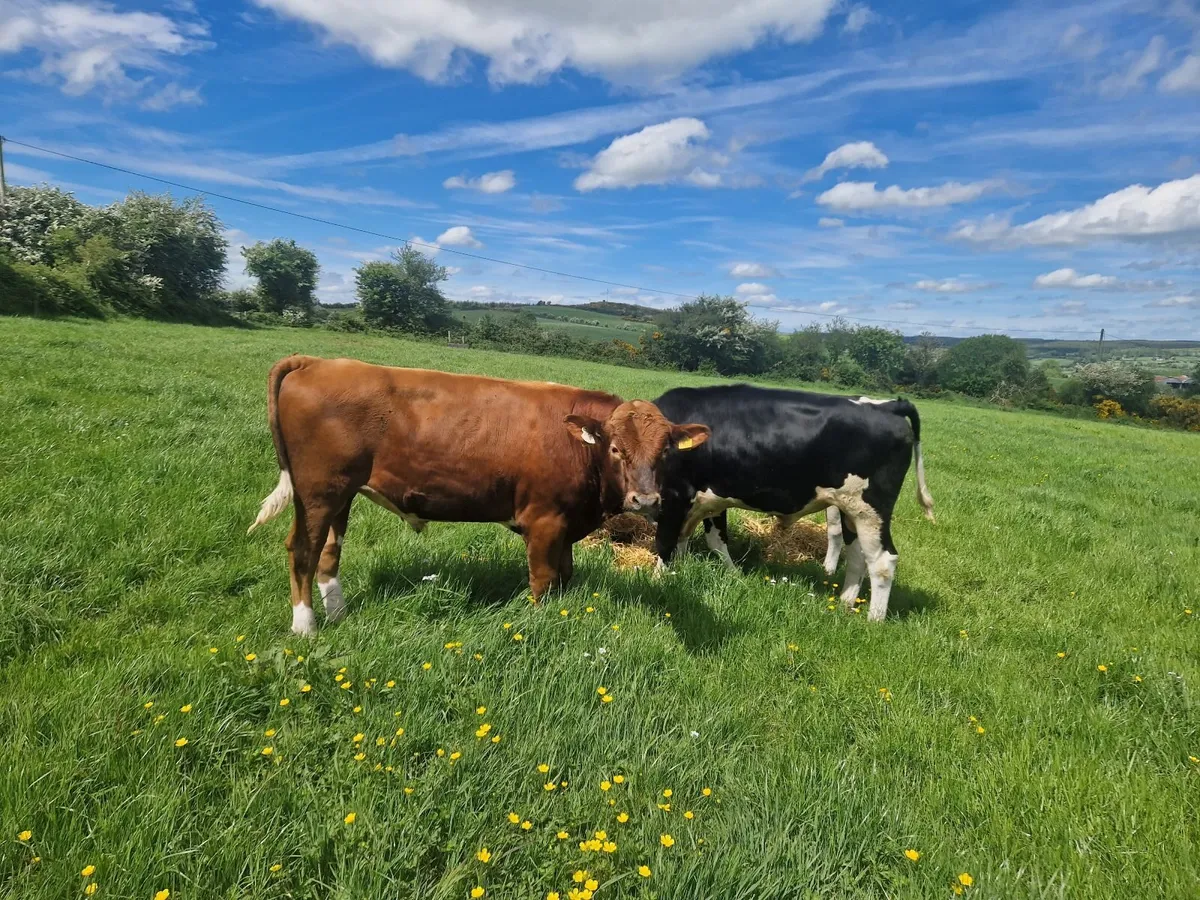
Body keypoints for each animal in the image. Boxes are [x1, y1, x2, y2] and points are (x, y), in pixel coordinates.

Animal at [247, 355, 710, 635]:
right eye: (616, 448)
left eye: (665, 450)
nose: (645, 502)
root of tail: (319, 361)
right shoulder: (544, 520)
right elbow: (544, 579)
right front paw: (538, 624)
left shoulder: (564, 523)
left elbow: (565, 575)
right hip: (318, 491)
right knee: (302, 549)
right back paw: (305, 627)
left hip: (341, 494)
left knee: (329, 550)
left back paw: (338, 614)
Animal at [650, 385, 934, 622]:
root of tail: (888, 405)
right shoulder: (709, 500)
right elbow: (709, 540)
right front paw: (724, 574)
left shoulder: (674, 495)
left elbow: (666, 540)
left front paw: (658, 581)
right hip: (850, 510)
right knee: (857, 555)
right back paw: (844, 604)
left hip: (870, 509)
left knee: (883, 562)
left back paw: (873, 620)